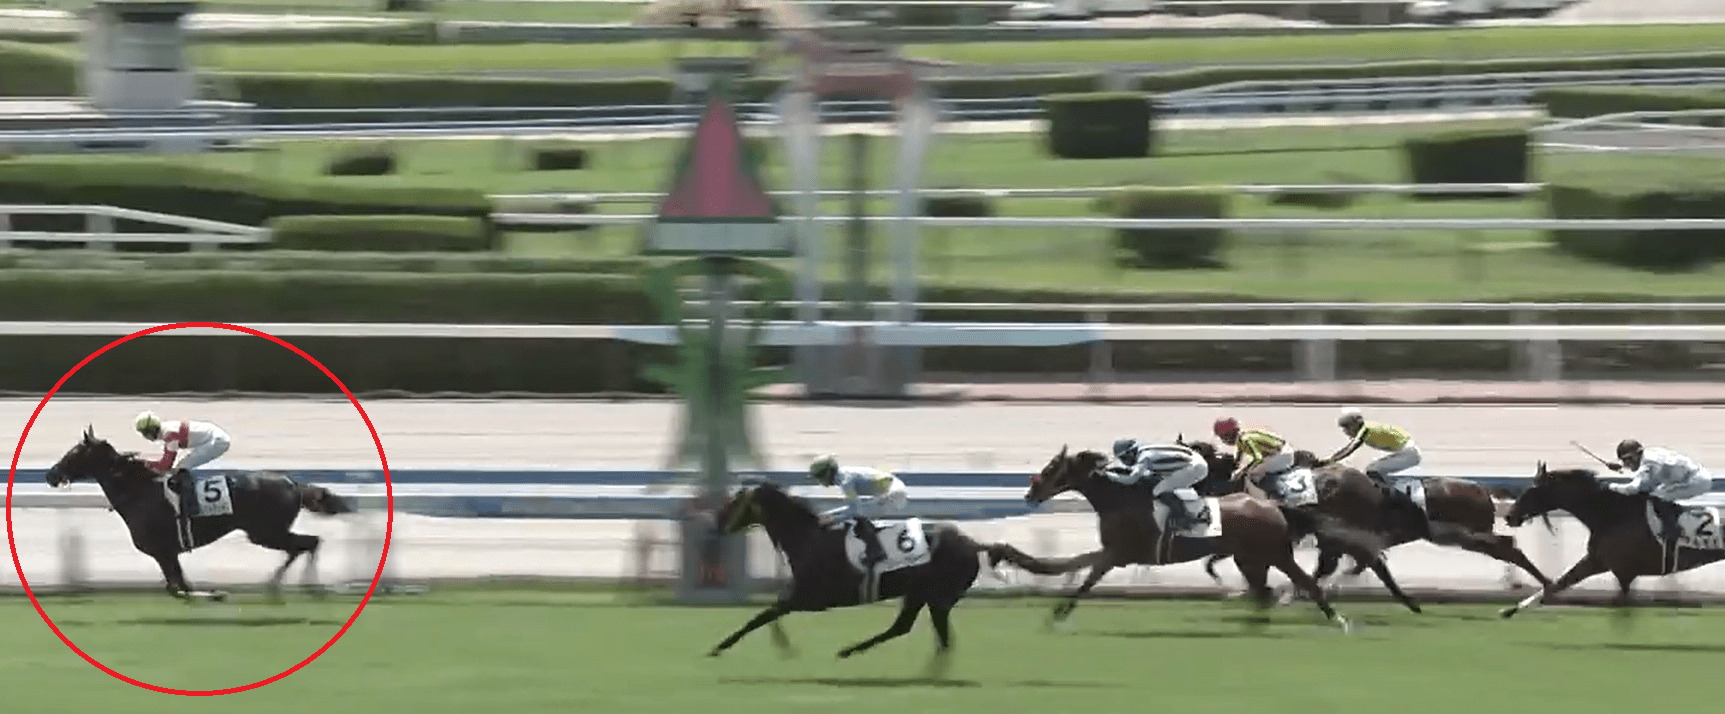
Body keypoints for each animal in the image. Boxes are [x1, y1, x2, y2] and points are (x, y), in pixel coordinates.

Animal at [43, 427, 356, 602]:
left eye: (73, 453)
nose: (51, 474)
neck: (138, 491)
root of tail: (292, 482)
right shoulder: (167, 554)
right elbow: (178, 586)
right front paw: (210, 593)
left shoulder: (163, 552)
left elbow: (178, 588)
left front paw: (216, 594)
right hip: (268, 532)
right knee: (304, 545)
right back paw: (278, 585)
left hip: (265, 532)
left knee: (310, 543)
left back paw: (306, 587)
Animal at [704, 479, 1057, 675]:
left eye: (734, 501)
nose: (715, 524)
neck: (807, 539)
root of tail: (974, 543)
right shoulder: (801, 598)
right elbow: (769, 615)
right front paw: (782, 647)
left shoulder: (810, 598)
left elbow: (762, 616)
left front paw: (719, 647)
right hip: (921, 595)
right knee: (907, 629)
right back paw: (854, 652)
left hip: (937, 597)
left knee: (937, 638)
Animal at [1023, 445, 1391, 632]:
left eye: (1052, 467)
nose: (1030, 493)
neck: (1121, 499)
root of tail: (1274, 506)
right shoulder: (1113, 552)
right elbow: (1079, 570)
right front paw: (1054, 606)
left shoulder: (1117, 553)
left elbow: (1086, 580)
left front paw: (1057, 614)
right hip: (1251, 558)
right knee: (1264, 591)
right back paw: (1256, 621)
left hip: (1276, 554)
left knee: (1305, 583)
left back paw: (1338, 620)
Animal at [1182, 437, 1549, 611]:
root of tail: (1482, 489)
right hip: (1460, 535)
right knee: (1508, 547)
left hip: (1465, 533)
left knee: (1509, 548)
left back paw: (1546, 584)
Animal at [1499, 462, 1725, 620]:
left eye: (1532, 489)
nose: (1509, 515)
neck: (1612, 514)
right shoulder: (1598, 562)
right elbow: (1555, 585)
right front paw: (1510, 610)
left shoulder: (1618, 568)